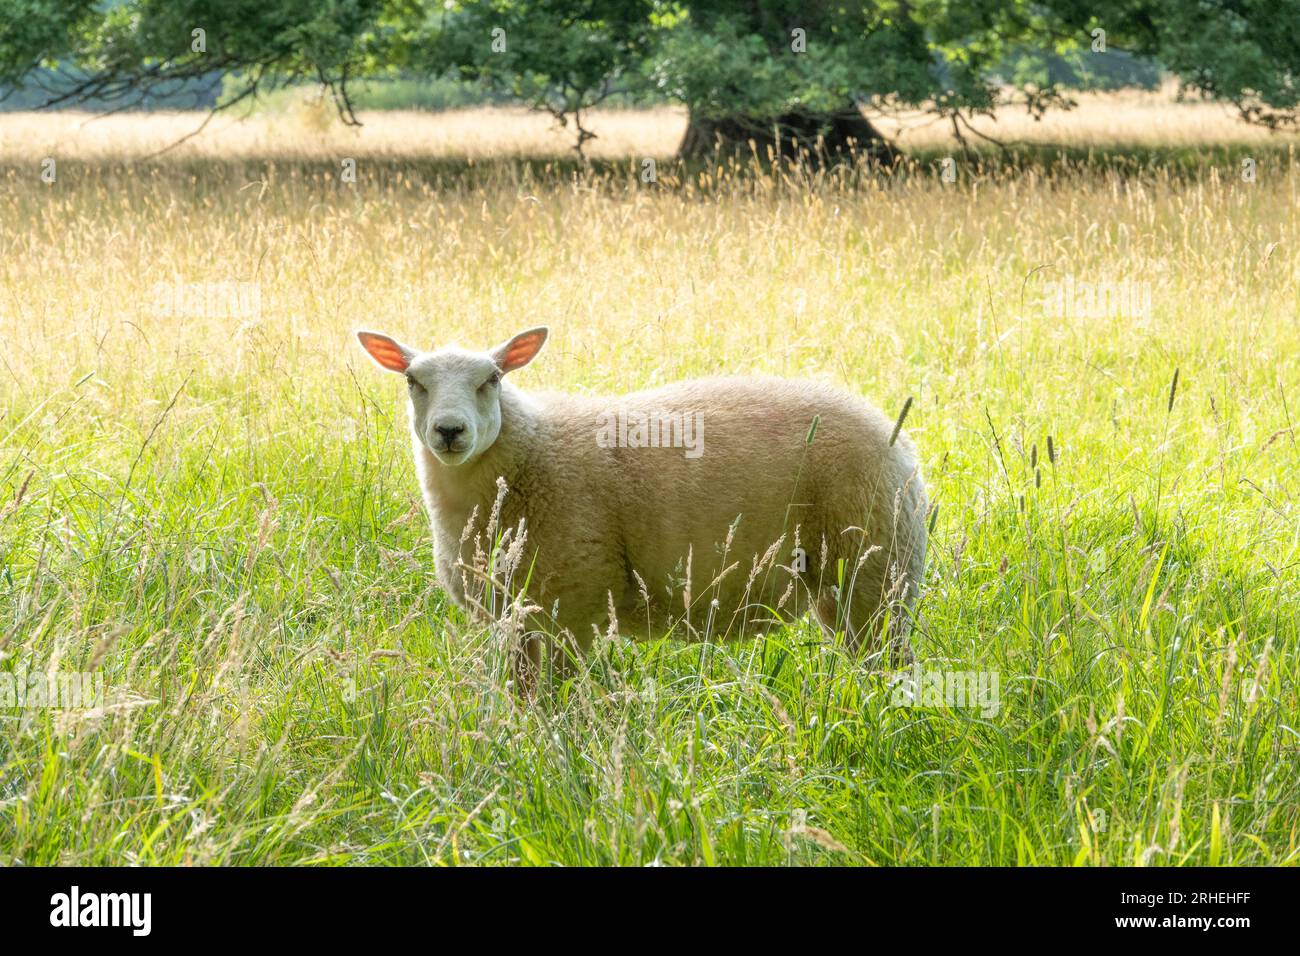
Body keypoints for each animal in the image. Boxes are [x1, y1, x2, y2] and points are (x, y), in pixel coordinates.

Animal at [357, 326, 927, 680]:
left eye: (492, 379)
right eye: (412, 380)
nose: (450, 431)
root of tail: (897, 438)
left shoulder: (572, 603)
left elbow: (561, 697)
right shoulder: (517, 617)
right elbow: (525, 696)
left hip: (877, 571)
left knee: (890, 663)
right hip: (846, 586)